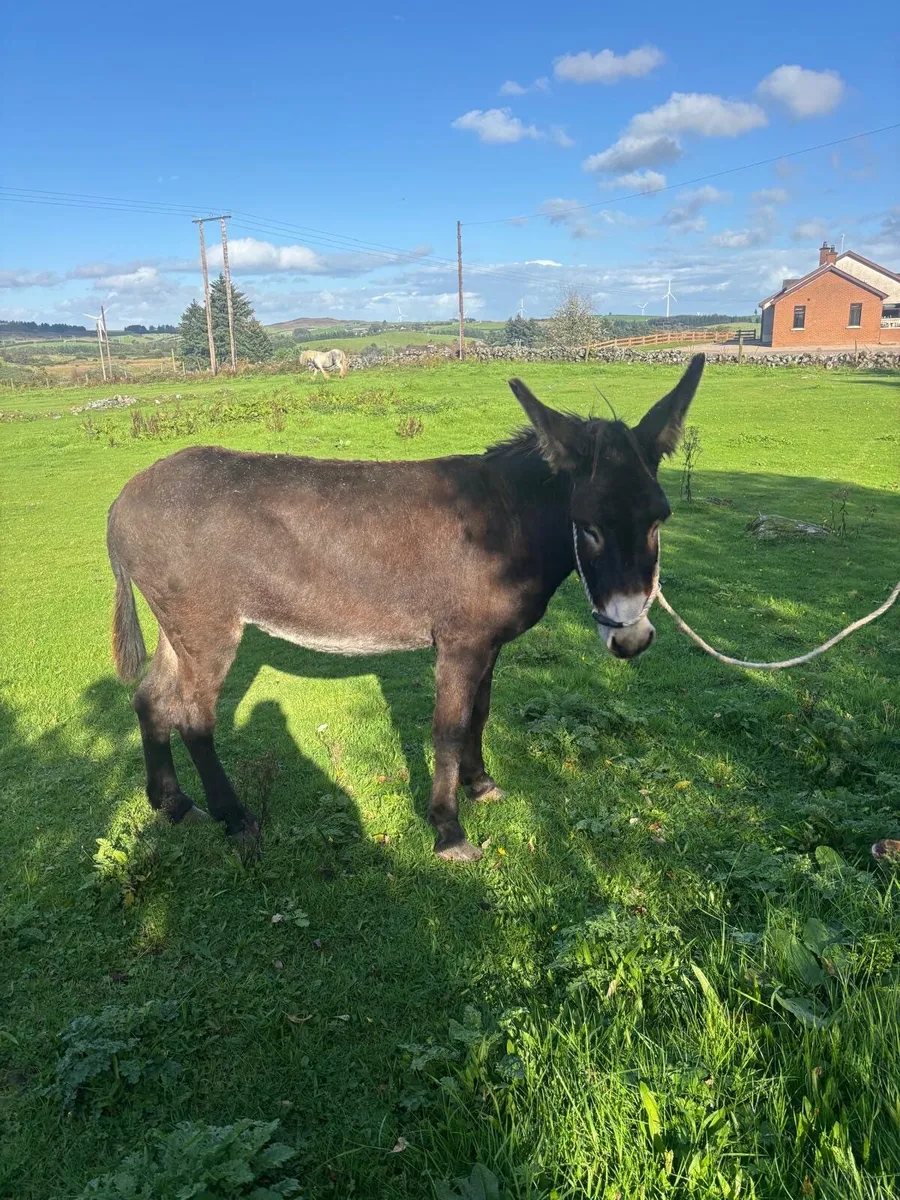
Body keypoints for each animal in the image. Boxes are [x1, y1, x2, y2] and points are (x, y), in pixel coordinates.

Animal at [107, 355, 705, 863]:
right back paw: (234, 819)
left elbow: (479, 715)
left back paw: (173, 805)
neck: (507, 523)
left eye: (659, 519)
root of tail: (124, 498)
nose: (632, 638)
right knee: (193, 717)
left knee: (151, 699)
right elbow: (448, 727)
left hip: (177, 627)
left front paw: (481, 785)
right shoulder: (460, 644)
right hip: (208, 627)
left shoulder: (487, 644)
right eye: (589, 527)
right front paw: (448, 831)